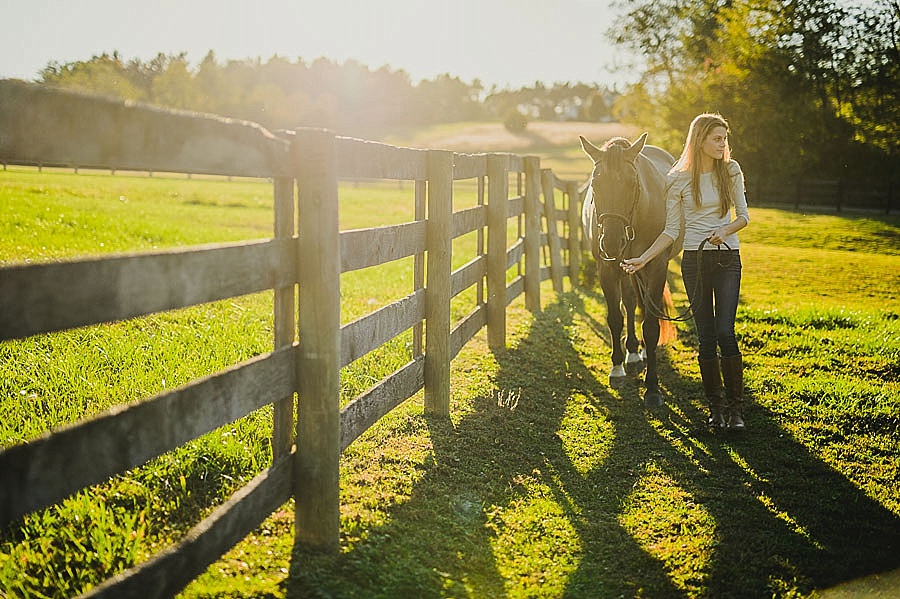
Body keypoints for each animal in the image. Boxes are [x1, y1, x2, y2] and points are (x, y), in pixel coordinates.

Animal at [580, 133, 680, 408]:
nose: (612, 242)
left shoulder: (656, 266)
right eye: (596, 183)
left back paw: (643, 351)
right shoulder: (607, 269)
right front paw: (617, 370)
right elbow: (616, 317)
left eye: (632, 183)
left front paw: (653, 388)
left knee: (645, 308)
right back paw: (633, 354)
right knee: (632, 302)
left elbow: (651, 325)